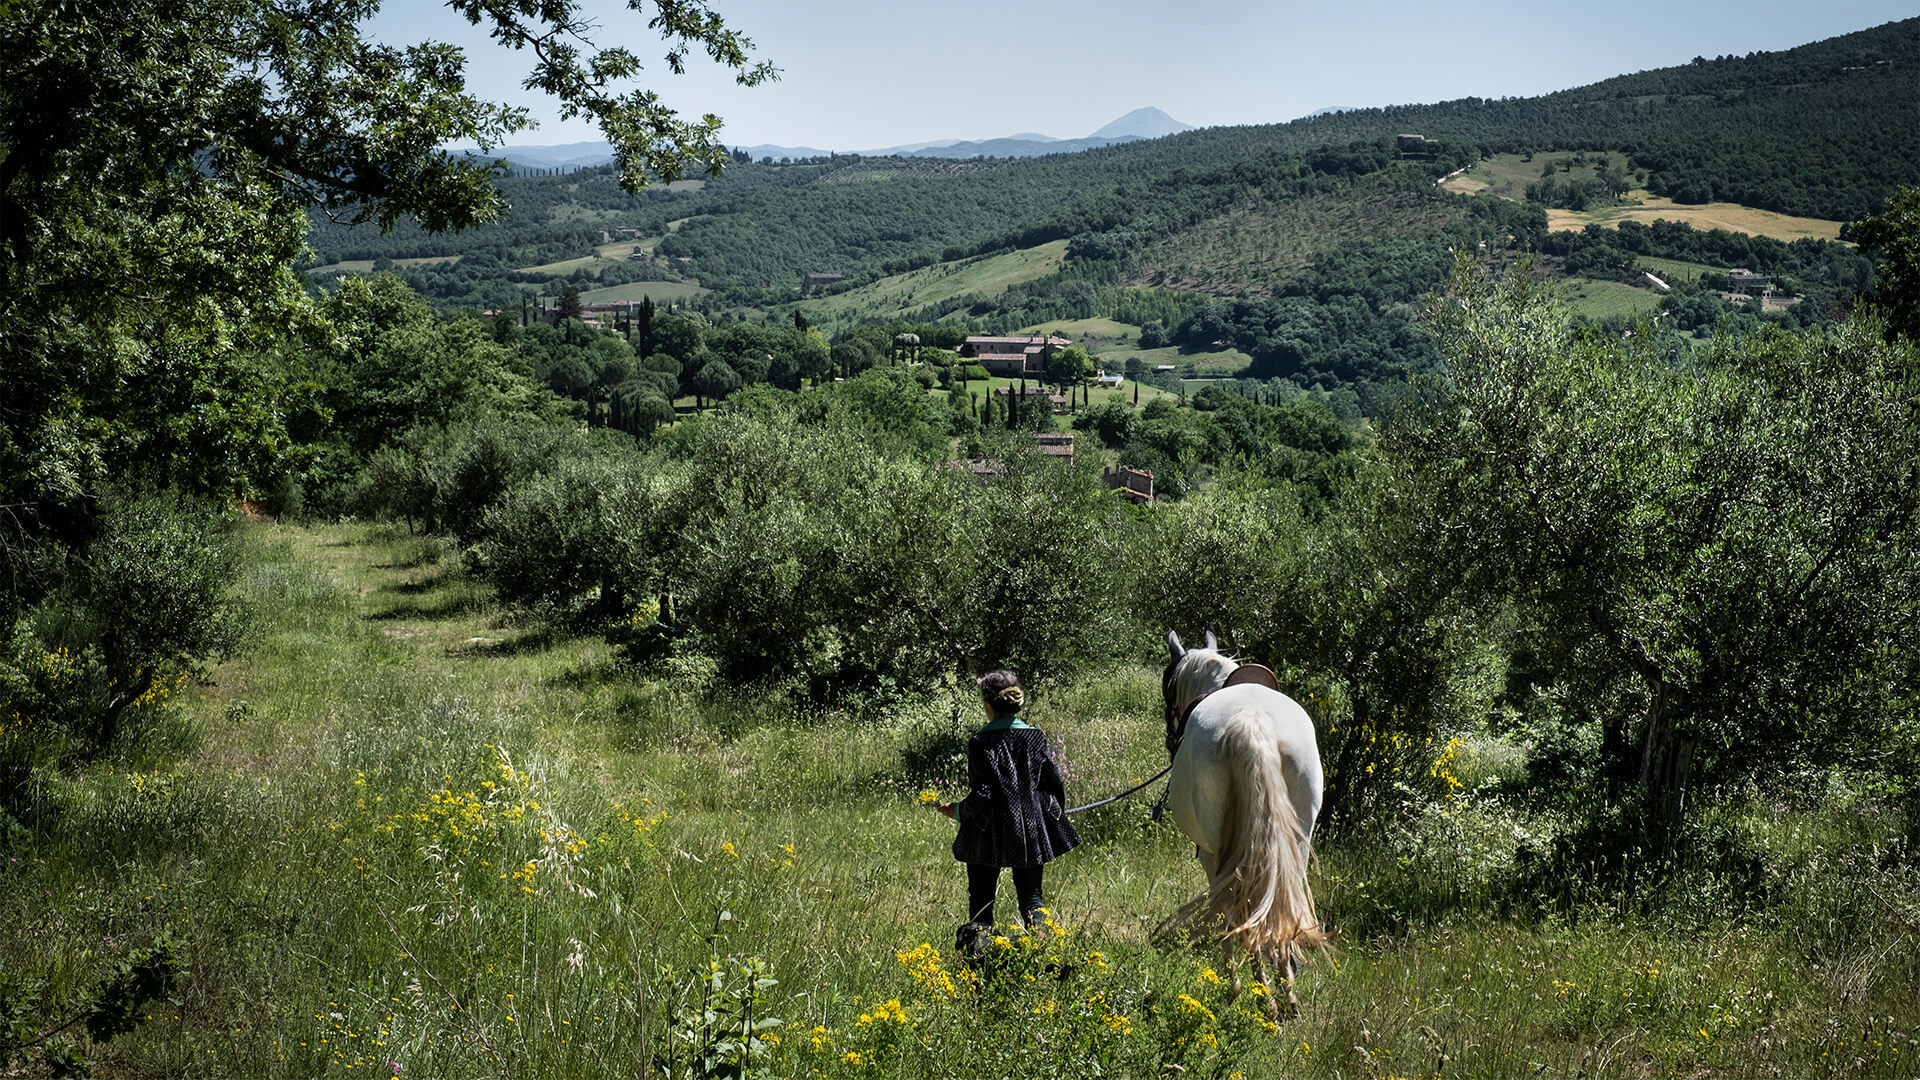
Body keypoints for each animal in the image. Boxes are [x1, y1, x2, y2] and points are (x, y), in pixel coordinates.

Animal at [1159, 626, 1328, 1006]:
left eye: (1167, 691)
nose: (1170, 739)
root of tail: (1253, 723)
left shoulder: (1209, 856)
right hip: (1297, 841)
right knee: (1276, 899)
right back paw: (1284, 989)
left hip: (1218, 851)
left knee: (1237, 905)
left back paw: (1252, 989)